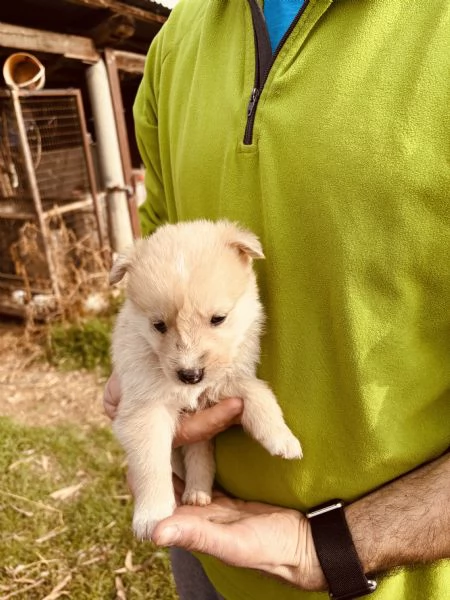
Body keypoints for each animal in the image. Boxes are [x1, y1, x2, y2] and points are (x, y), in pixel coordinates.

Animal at [110, 220, 302, 540]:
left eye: (218, 318)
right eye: (158, 325)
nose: (190, 375)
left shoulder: (227, 380)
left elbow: (259, 393)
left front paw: (282, 439)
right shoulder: (144, 409)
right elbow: (151, 461)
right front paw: (151, 515)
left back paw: (197, 493)